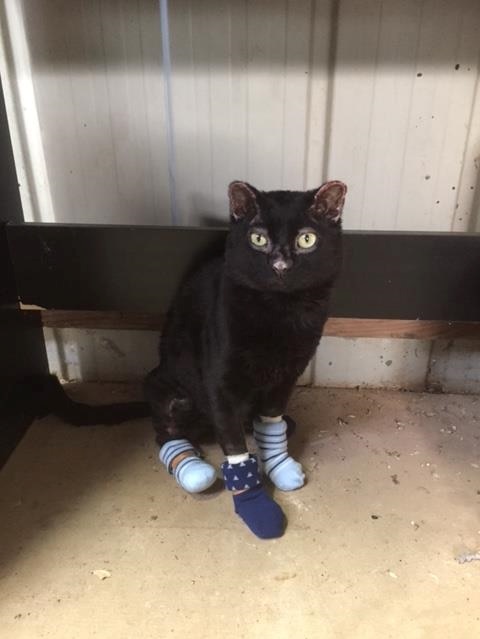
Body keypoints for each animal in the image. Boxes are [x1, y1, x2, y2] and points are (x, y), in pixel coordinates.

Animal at [144, 180, 346, 540]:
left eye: (306, 240)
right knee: (166, 433)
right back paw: (192, 468)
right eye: (258, 239)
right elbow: (235, 446)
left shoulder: (286, 377)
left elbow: (271, 422)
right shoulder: (220, 382)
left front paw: (279, 464)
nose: (280, 266)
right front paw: (254, 504)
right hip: (168, 389)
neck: (281, 313)